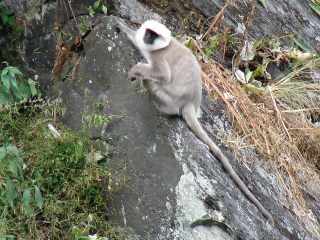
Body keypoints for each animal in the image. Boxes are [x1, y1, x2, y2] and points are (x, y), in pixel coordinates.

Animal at [117, 18, 272, 223]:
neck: (162, 46)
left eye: (154, 35)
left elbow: (162, 74)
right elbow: (135, 39)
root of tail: (190, 103)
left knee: (154, 84)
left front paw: (136, 70)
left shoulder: (159, 57)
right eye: (148, 32)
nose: (148, 37)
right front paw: (121, 26)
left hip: (169, 99)